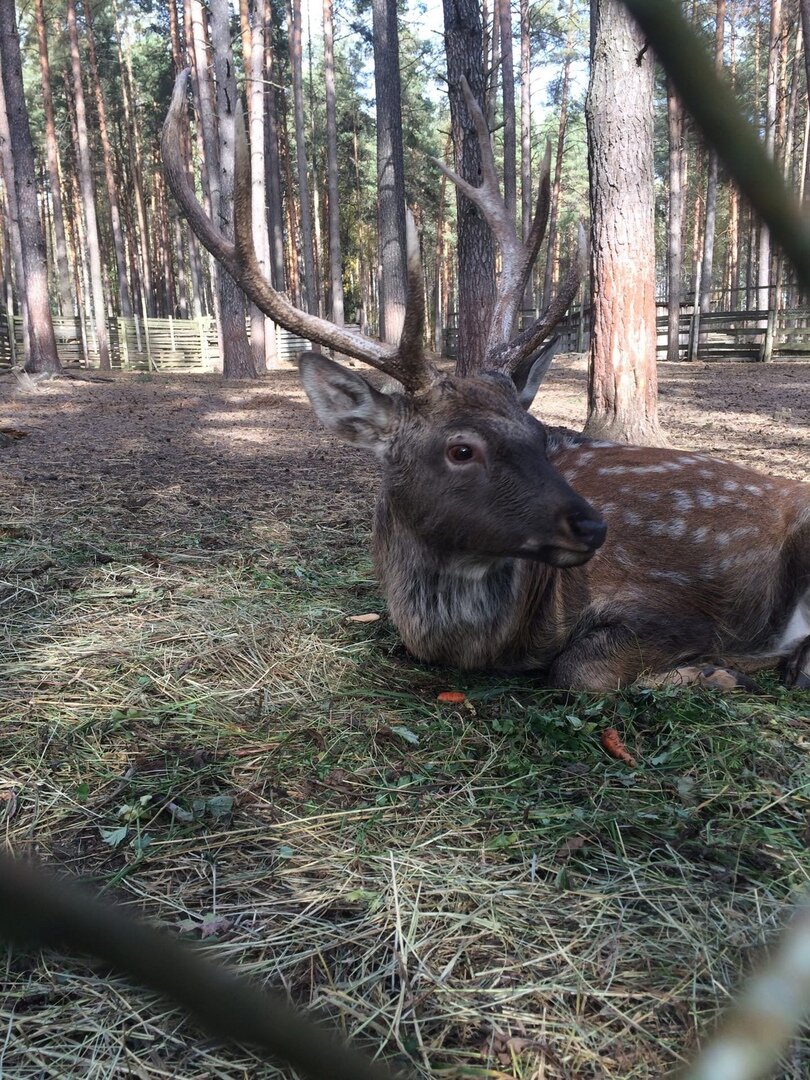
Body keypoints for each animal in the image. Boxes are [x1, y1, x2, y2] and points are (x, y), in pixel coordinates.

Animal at [162, 71, 807, 691]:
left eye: (541, 434)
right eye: (461, 449)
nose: (594, 525)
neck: (495, 645)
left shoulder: (676, 608)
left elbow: (579, 670)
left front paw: (708, 670)